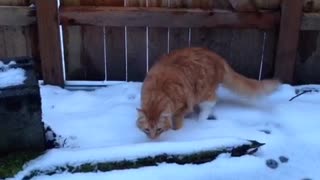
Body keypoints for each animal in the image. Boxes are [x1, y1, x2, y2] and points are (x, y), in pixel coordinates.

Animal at [136, 47, 278, 139]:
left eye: (159, 129)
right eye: (147, 130)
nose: (152, 139)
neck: (158, 91)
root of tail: (219, 58)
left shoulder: (182, 106)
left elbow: (178, 121)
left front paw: (177, 132)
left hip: (204, 91)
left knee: (210, 105)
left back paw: (200, 121)